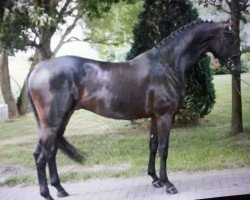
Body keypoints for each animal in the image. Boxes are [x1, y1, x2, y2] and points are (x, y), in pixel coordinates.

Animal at [27, 20, 238, 200]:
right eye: (229, 37)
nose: (237, 65)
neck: (167, 65)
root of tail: (37, 70)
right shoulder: (165, 116)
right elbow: (164, 149)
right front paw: (168, 184)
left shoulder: (154, 117)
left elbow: (153, 146)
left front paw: (155, 180)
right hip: (52, 123)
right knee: (41, 156)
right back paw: (47, 194)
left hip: (60, 120)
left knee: (51, 152)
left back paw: (60, 189)